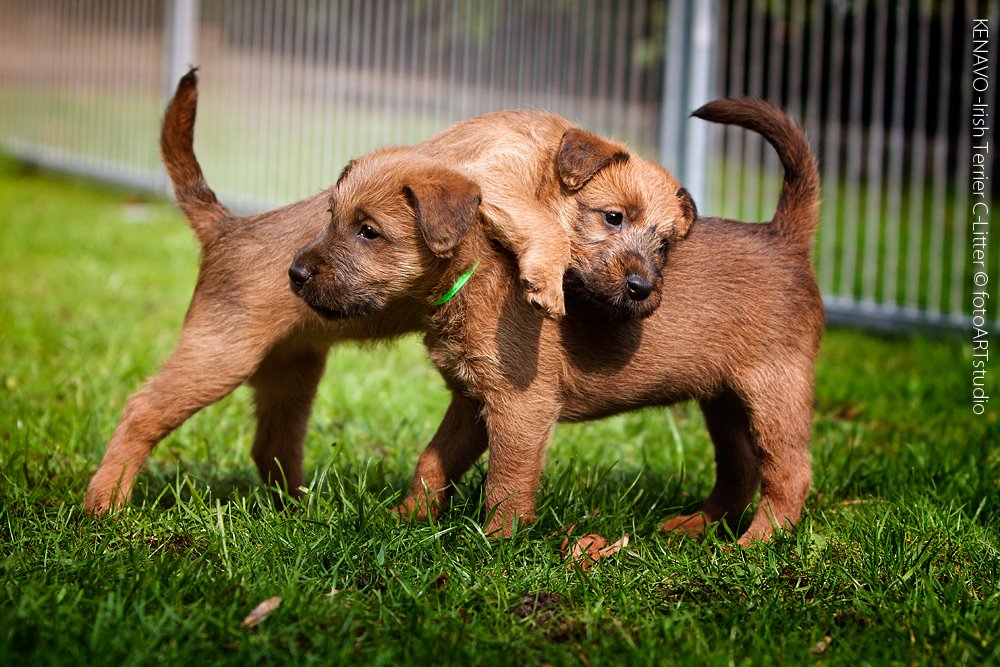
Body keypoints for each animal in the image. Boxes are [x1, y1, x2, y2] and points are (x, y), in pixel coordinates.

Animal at [288, 99, 820, 548]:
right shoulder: (471, 401)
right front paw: (406, 519)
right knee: (740, 472)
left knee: (789, 473)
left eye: (369, 232)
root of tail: (783, 236)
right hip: (724, 400)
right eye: (333, 219)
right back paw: (692, 528)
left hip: (774, 391)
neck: (476, 268)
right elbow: (433, 461)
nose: (294, 273)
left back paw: (754, 544)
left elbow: (506, 483)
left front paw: (495, 546)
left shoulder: (520, 407)